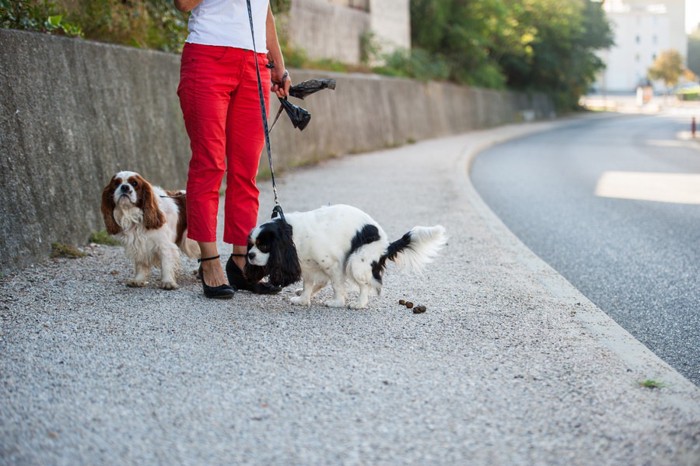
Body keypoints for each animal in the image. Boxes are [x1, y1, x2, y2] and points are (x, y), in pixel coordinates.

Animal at [243, 205, 446, 310]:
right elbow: (308, 284)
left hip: (356, 262)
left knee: (365, 285)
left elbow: (337, 285)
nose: (250, 255)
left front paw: (337, 302)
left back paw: (359, 304)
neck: (291, 234)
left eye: (263, 246)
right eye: (251, 245)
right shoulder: (307, 266)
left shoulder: (333, 264)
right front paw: (303, 300)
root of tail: (386, 244)